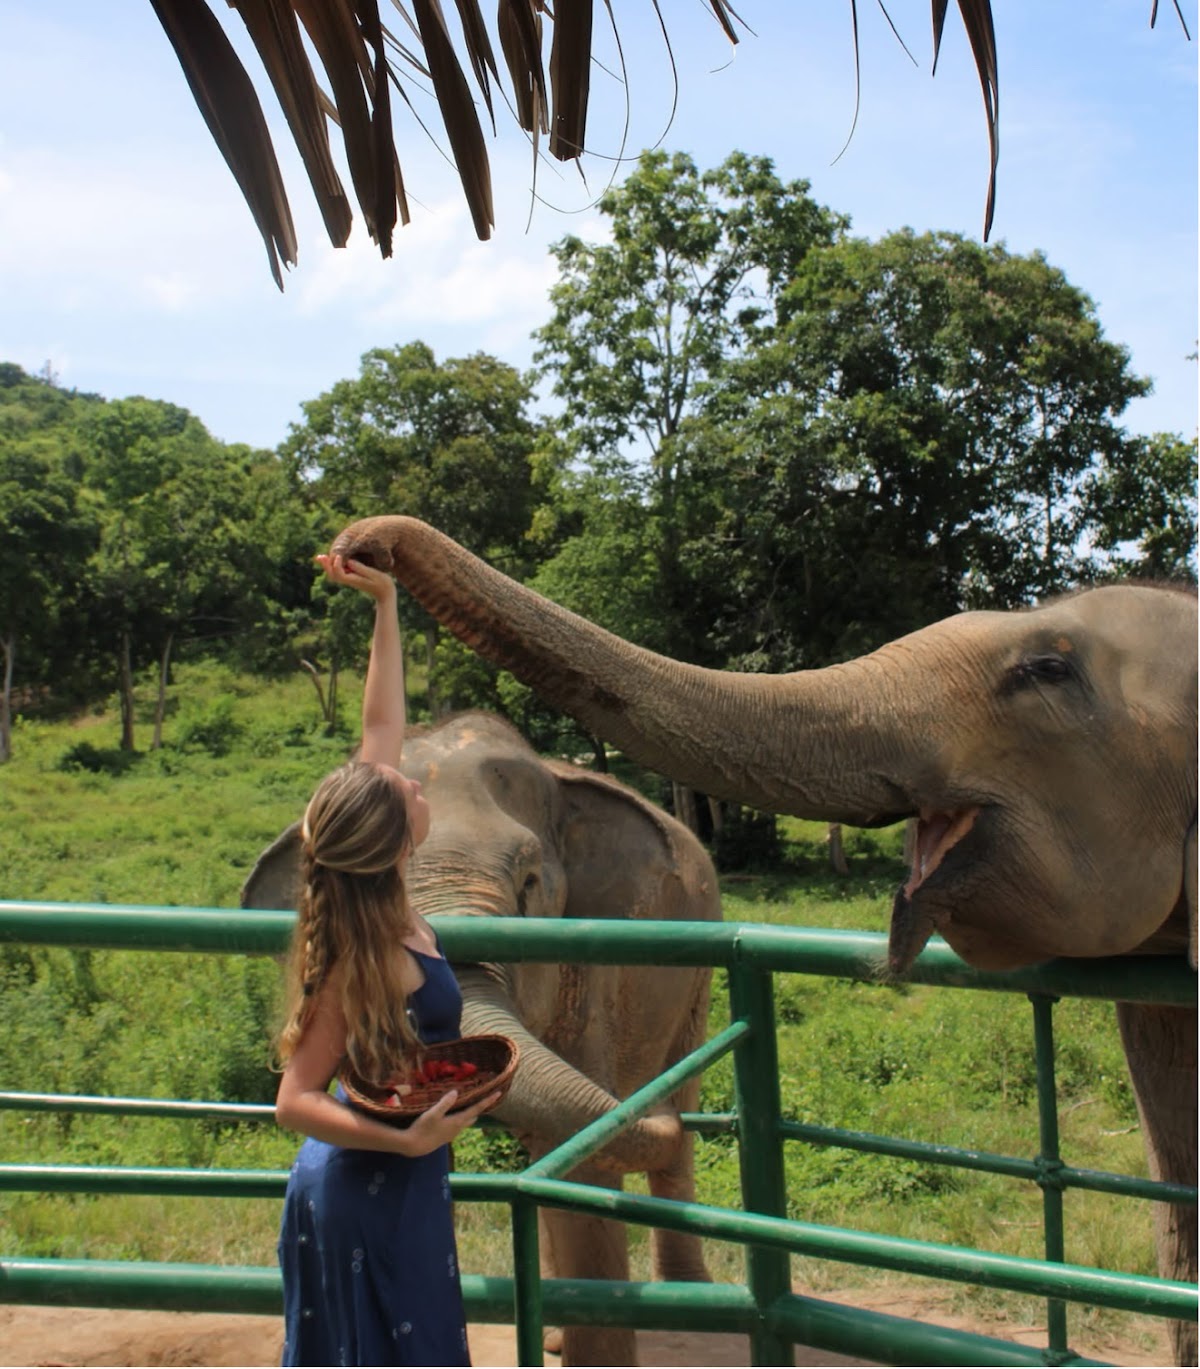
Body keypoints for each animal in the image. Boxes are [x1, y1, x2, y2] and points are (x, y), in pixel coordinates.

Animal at [243, 710, 719, 1367]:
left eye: (530, 883)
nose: (651, 1110)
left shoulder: (591, 960)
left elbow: (584, 1160)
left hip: (698, 962)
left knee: (678, 1098)